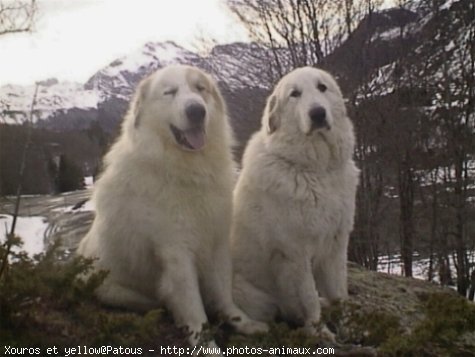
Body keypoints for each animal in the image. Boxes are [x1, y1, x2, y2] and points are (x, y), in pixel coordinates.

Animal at [80, 64, 270, 348]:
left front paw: (242, 323)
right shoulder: (176, 253)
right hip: (114, 290)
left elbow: (224, 294)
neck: (183, 169)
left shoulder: (216, 242)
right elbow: (194, 308)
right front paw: (206, 346)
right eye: (169, 92)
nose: (196, 111)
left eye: (200, 88)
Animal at [232, 67, 358, 336]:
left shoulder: (336, 244)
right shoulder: (295, 252)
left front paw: (348, 328)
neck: (316, 170)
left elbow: (340, 293)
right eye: (295, 94)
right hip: (250, 295)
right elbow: (308, 297)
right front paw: (320, 332)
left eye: (322, 87)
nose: (318, 113)